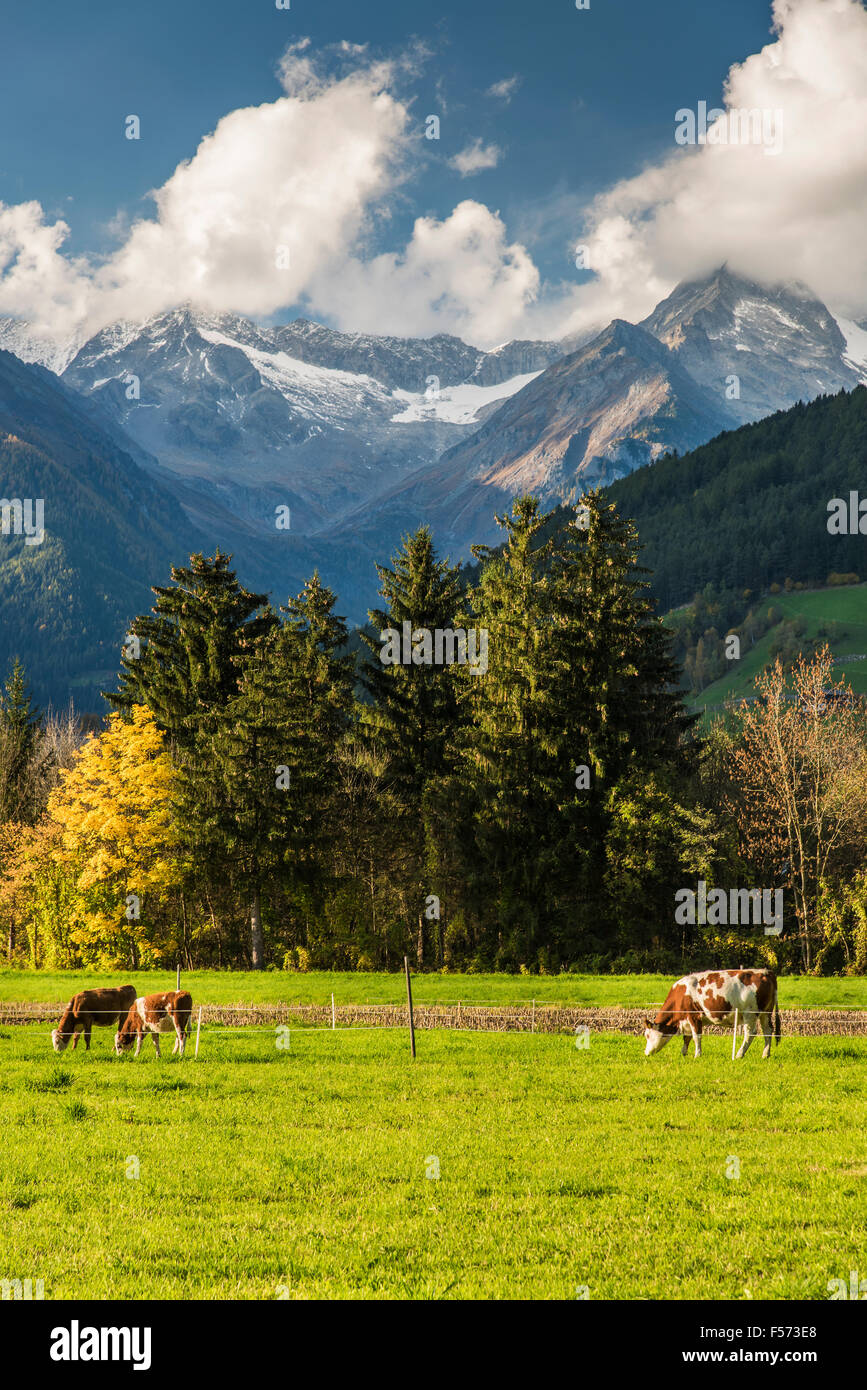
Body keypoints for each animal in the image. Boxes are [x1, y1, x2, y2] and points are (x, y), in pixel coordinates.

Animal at [644, 967, 778, 1061]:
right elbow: (687, 1037)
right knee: (767, 1031)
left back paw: (739, 1054)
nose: (646, 1053)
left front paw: (697, 1055)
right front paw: (683, 1053)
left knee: (750, 1033)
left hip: (750, 1013)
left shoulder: (694, 1016)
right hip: (766, 1013)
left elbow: (696, 1036)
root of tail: (765, 972)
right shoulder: (687, 1021)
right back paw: (765, 1054)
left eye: (647, 1035)